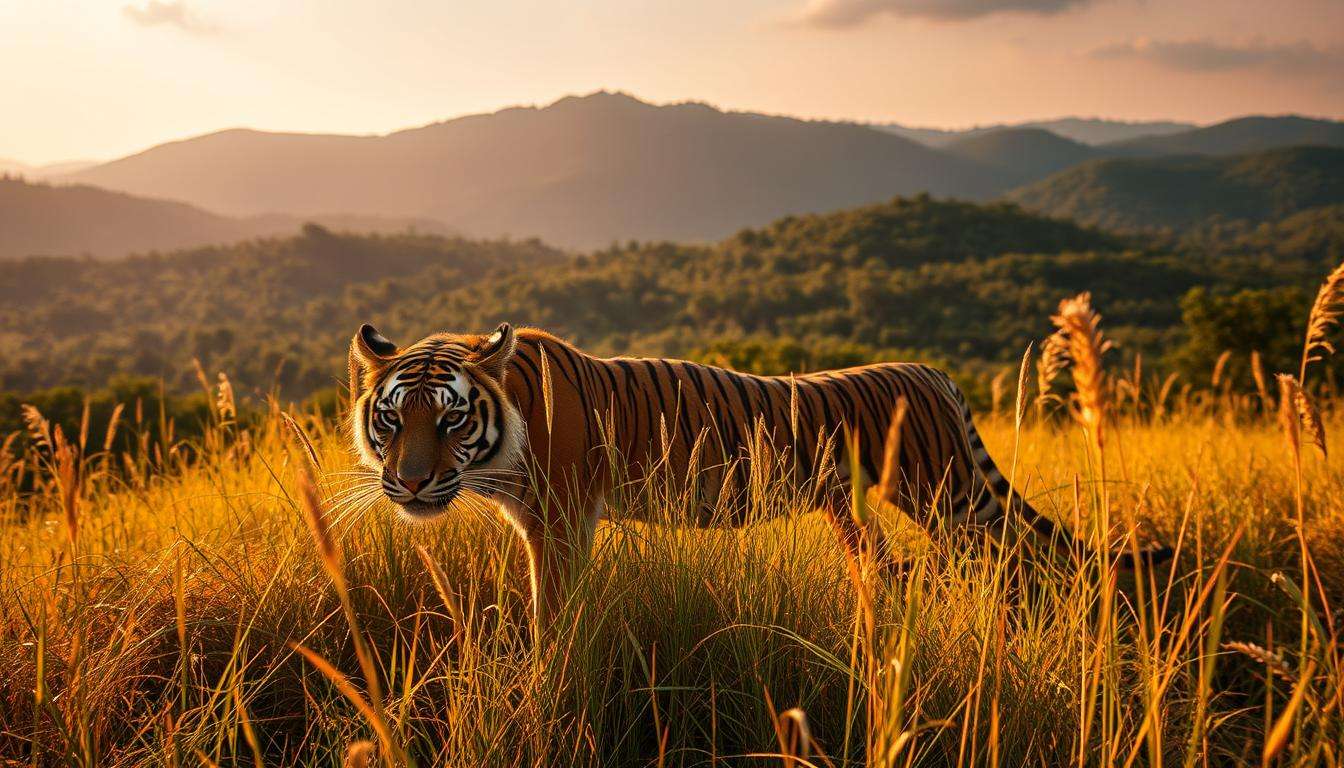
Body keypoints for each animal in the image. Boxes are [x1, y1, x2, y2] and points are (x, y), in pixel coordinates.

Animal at [347, 322, 1171, 628]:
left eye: (450, 420)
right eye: (392, 419)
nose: (410, 484)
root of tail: (933, 370)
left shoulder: (561, 521)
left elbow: (554, 606)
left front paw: (551, 663)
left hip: (953, 497)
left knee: (1016, 558)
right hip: (859, 510)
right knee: (894, 569)